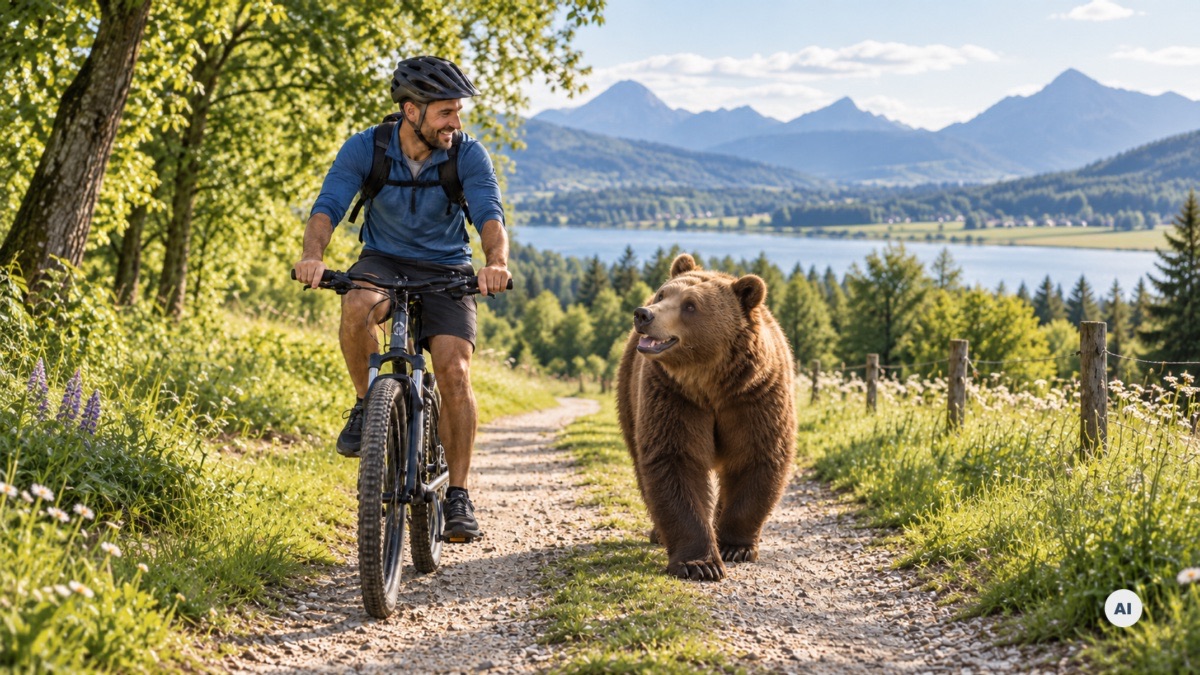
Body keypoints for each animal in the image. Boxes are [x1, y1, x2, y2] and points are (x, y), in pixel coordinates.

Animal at [617, 253, 797, 581]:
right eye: (663, 294)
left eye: (690, 305)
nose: (643, 314)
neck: (711, 383)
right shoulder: (674, 397)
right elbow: (675, 460)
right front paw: (700, 563)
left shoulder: (755, 397)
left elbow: (757, 457)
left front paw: (735, 547)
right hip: (629, 394)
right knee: (640, 460)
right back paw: (659, 533)